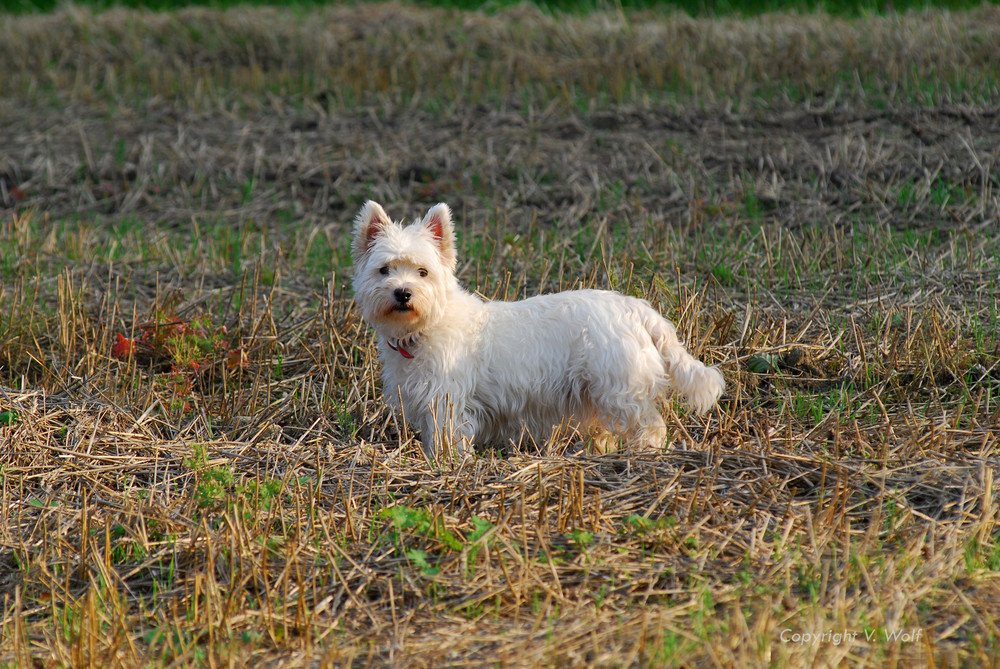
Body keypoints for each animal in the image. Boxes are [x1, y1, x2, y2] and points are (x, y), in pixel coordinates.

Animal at [354, 198, 728, 460]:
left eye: (422, 271)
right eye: (384, 270)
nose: (402, 293)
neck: (424, 329)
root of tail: (637, 309)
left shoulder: (447, 401)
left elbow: (449, 439)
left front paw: (447, 465)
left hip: (621, 388)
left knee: (650, 426)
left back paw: (642, 455)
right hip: (596, 393)